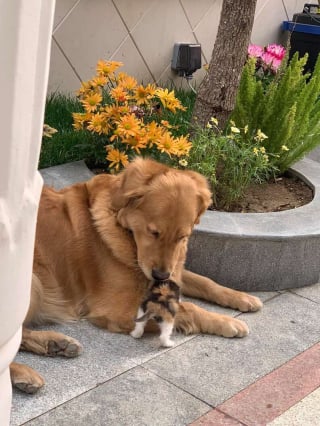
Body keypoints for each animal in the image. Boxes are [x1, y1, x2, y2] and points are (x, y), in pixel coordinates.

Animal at [10, 159, 262, 392]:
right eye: (154, 232)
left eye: (182, 236)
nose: (160, 274)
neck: (122, 229)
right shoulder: (117, 310)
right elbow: (188, 308)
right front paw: (227, 322)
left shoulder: (171, 272)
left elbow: (205, 281)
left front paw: (242, 298)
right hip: (33, 281)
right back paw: (25, 372)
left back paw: (55, 343)